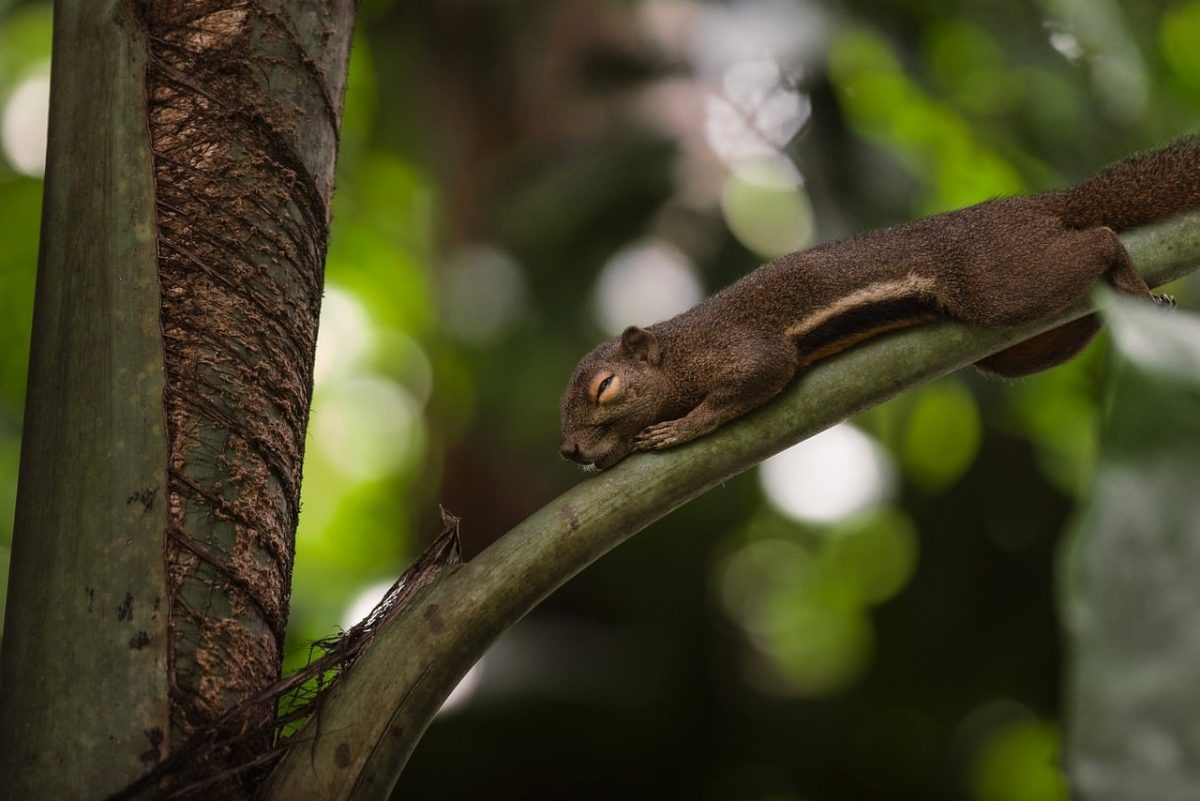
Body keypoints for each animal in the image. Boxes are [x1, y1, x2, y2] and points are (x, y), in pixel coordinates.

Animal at [559, 135, 1199, 470]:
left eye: (605, 388)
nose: (568, 450)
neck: (681, 349)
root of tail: (1039, 206)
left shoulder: (738, 347)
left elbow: (760, 375)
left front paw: (681, 429)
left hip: (1000, 282)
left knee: (1100, 239)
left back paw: (1131, 278)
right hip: (1017, 340)